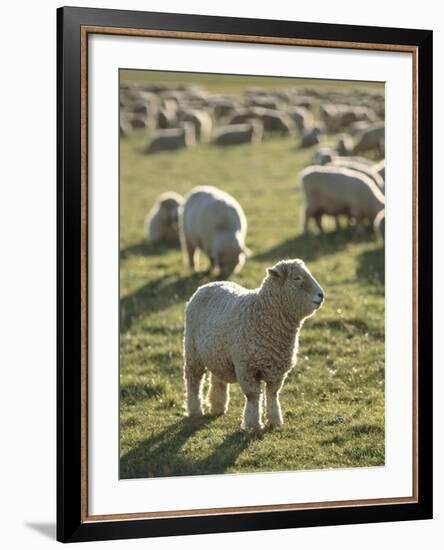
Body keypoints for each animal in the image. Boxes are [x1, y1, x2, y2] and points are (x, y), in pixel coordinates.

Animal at [182, 258, 324, 432]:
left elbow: (272, 394)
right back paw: (195, 410)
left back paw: (217, 407)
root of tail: (207, 285)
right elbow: (253, 396)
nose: (321, 295)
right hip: (192, 351)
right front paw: (252, 424)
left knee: (217, 379)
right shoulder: (247, 368)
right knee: (193, 380)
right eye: (297, 278)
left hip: (218, 353)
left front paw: (274, 421)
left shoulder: (277, 370)